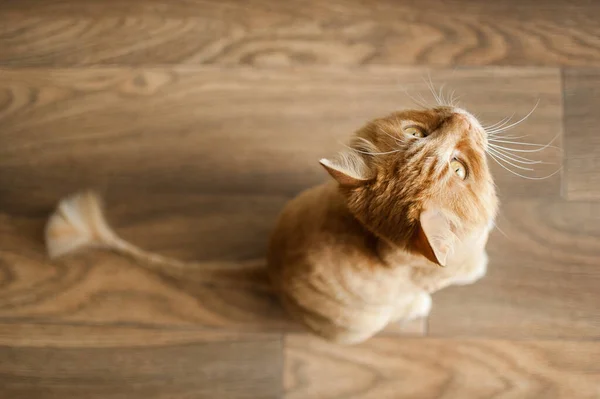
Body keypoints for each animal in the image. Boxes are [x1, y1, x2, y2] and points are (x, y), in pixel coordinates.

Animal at [45, 107, 496, 346]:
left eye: (459, 167)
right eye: (417, 132)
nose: (461, 116)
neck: (374, 238)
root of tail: (269, 269)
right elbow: (463, 272)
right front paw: (476, 270)